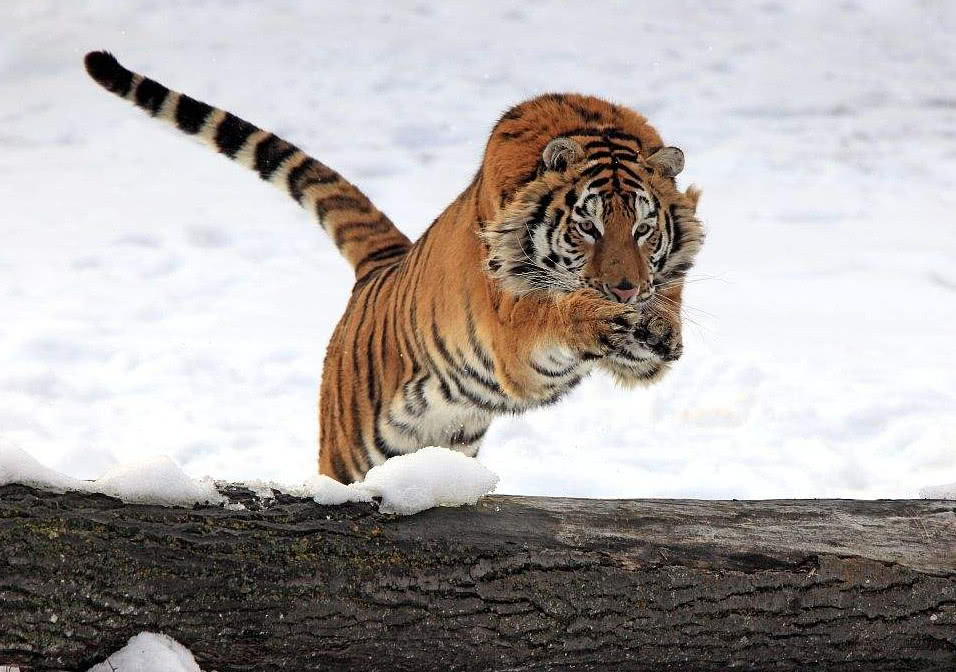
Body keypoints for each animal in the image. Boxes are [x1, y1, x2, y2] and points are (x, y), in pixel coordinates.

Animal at [84, 51, 704, 485]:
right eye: (587, 227)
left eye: (644, 229)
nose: (625, 290)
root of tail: (382, 266)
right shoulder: (515, 342)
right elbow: (555, 312)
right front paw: (605, 318)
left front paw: (658, 327)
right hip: (347, 448)